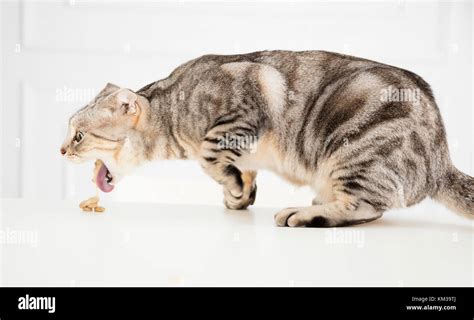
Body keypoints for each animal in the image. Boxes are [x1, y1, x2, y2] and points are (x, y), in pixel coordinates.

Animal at [61, 50, 472, 228]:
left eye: (78, 135)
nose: (61, 149)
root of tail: (439, 162)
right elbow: (239, 172)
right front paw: (239, 194)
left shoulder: (241, 114)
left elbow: (210, 155)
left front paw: (233, 186)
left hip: (356, 152)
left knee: (366, 208)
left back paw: (304, 213)